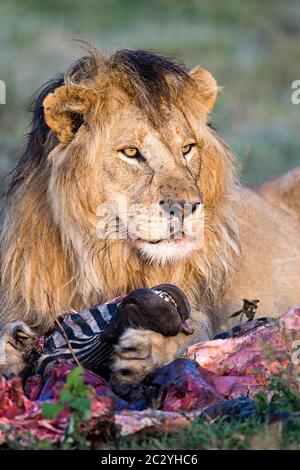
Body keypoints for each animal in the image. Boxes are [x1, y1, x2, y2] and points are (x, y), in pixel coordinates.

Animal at [0, 46, 300, 380]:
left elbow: (194, 327)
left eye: (187, 148)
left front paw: (148, 349)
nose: (184, 206)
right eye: (130, 152)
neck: (107, 258)